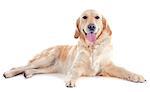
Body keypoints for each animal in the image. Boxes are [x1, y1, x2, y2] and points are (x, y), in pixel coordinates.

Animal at [2, 9, 145, 87]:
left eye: (97, 17)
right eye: (84, 17)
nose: (91, 26)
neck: (92, 47)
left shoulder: (107, 66)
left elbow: (124, 70)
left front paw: (137, 76)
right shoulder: (76, 66)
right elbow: (74, 73)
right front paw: (71, 80)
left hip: (51, 67)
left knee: (32, 69)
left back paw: (28, 73)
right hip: (47, 58)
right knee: (23, 66)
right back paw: (9, 73)